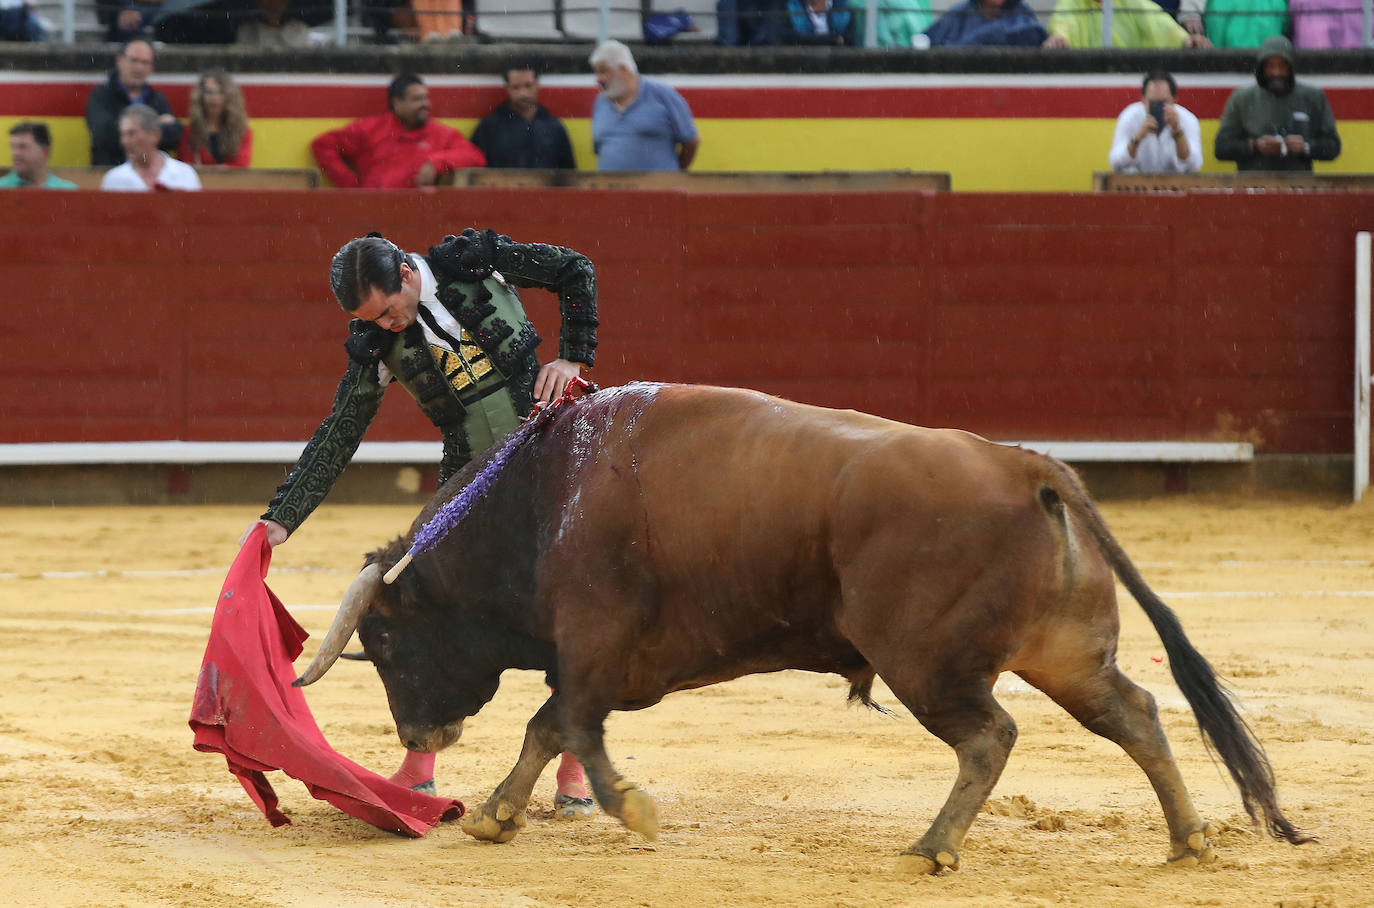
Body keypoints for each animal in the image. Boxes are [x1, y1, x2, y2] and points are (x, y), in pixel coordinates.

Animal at [298, 381, 1308, 873]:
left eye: (382, 642)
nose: (419, 733)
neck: (542, 501)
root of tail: (1027, 466)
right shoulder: (594, 658)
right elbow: (550, 728)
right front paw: (496, 817)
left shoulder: (592, 642)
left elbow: (569, 725)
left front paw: (631, 809)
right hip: (1064, 652)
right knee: (1134, 713)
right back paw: (1188, 842)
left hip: (927, 663)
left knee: (991, 735)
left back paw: (933, 848)